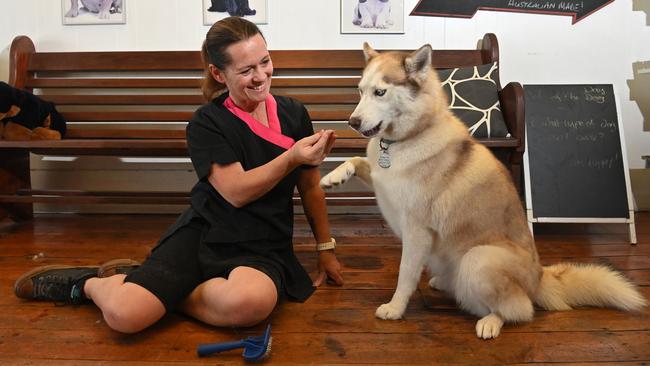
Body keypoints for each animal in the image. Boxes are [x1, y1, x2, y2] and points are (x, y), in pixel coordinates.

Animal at [322, 44, 644, 338]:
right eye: (360, 91)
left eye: (380, 92)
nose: (352, 122)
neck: (407, 139)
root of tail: (540, 278)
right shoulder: (382, 180)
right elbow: (357, 160)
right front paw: (334, 176)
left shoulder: (417, 231)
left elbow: (405, 274)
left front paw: (395, 308)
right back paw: (443, 282)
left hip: (478, 260)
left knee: (520, 309)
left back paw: (491, 321)